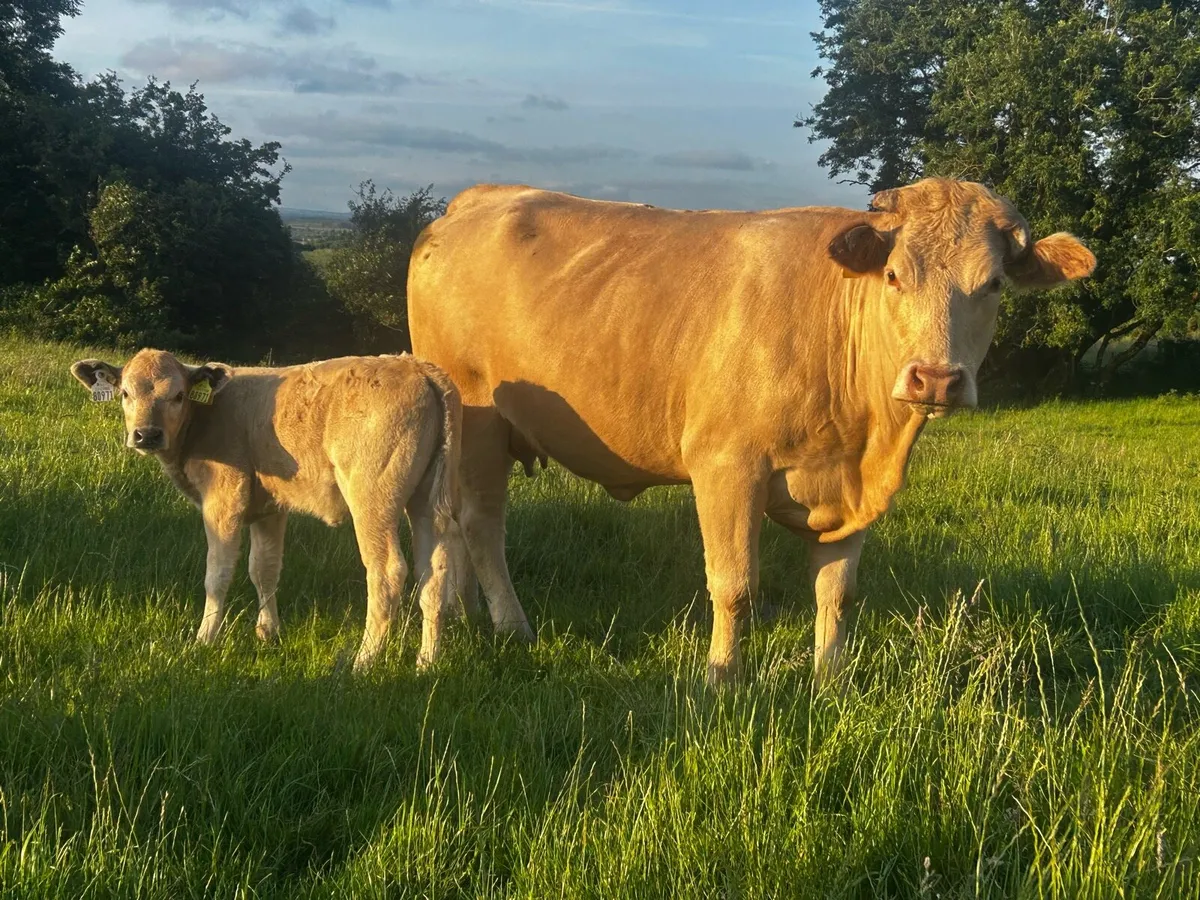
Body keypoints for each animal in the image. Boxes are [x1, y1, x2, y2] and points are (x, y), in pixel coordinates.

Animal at [70, 349, 467, 671]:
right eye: (126, 393)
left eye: (178, 395)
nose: (147, 435)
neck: (203, 422)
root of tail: (417, 366)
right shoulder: (269, 508)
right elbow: (264, 568)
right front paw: (268, 632)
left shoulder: (224, 500)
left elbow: (218, 573)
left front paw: (204, 639)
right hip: (427, 501)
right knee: (434, 572)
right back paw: (426, 662)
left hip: (372, 499)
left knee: (387, 571)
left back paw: (364, 661)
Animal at [406, 177, 1096, 686]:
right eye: (895, 275)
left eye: (994, 284)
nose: (935, 379)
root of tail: (477, 200)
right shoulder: (726, 466)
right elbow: (734, 584)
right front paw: (722, 676)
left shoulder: (852, 487)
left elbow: (837, 592)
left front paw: (829, 679)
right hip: (479, 418)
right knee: (481, 524)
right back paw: (512, 626)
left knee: (460, 523)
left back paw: (467, 613)